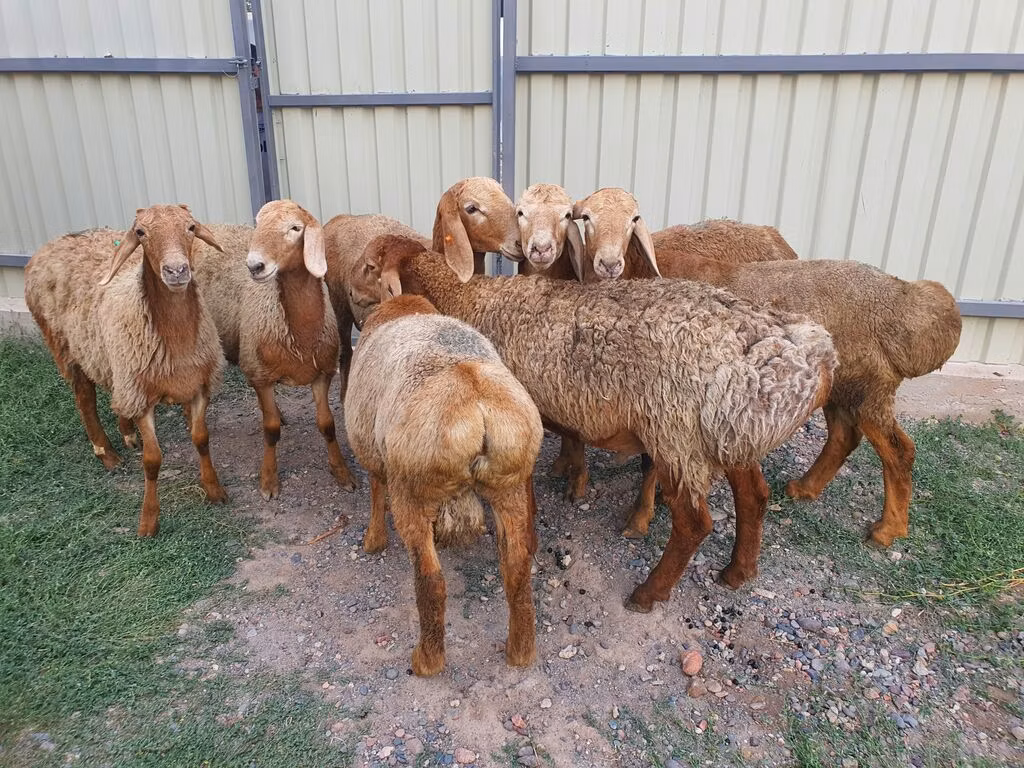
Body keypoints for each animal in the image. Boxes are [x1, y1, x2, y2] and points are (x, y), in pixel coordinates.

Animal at [24, 204, 229, 537]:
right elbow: (153, 460)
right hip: (67, 349)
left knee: (113, 394)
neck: (177, 337)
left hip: (113, 361)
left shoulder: (198, 386)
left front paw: (214, 491)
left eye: (191, 227)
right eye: (141, 233)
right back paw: (107, 454)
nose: (177, 271)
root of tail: (49, 245)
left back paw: (127, 433)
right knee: (85, 400)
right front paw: (148, 521)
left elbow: (201, 439)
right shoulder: (142, 396)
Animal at [195, 199, 358, 500]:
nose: (254, 265)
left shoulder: (322, 374)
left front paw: (342, 472)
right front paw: (269, 480)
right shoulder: (262, 376)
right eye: (258, 224)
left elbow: (327, 424)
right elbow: (269, 431)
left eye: (295, 228)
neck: (299, 334)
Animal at [344, 293, 543, 675]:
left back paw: (427, 659)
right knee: (517, 566)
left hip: (411, 489)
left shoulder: (372, 453)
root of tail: (476, 399)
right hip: (510, 483)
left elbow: (375, 490)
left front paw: (373, 541)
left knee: (431, 580)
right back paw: (520, 651)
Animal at [348, 234, 837, 610]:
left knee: (694, 523)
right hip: (728, 429)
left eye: (371, 266)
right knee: (755, 496)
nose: (350, 297)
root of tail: (794, 351)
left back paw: (648, 593)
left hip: (676, 432)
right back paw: (738, 572)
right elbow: (570, 443)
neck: (468, 302)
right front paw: (570, 476)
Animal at [576, 187, 963, 548]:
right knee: (844, 436)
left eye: (633, 220)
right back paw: (804, 488)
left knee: (898, 450)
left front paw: (640, 518)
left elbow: (651, 464)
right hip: (843, 382)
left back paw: (887, 530)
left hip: (868, 388)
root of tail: (906, 301)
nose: (608, 264)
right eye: (587, 218)